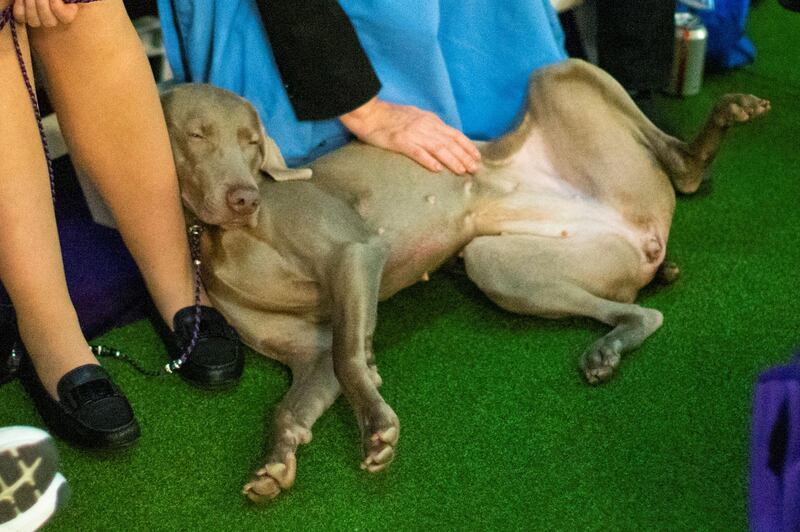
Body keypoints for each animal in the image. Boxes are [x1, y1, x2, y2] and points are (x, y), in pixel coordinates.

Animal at [158, 59, 768, 502]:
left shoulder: (355, 252)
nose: (246, 198)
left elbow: (349, 358)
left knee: (685, 174)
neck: (226, 240)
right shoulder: (308, 352)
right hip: (496, 265)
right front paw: (274, 463)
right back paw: (609, 348)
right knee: (638, 308)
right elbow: (297, 396)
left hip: (563, 74)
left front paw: (376, 426)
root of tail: (642, 228)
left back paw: (731, 112)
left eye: (251, 140)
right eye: (196, 135)